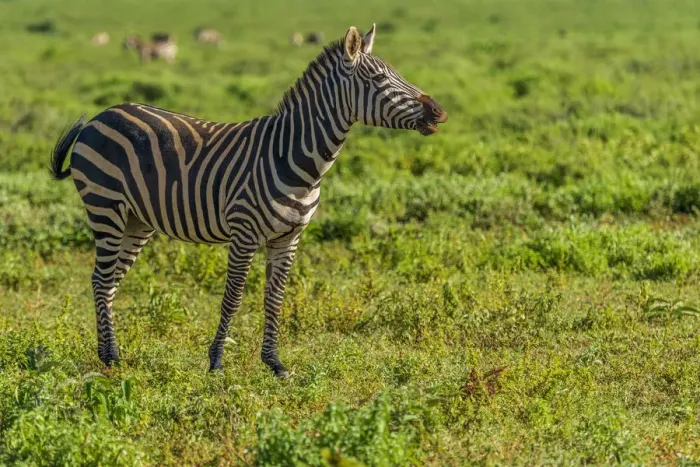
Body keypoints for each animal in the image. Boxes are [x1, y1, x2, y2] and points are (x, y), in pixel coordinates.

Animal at [49, 24, 447, 378]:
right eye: (379, 80)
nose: (439, 112)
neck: (295, 158)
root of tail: (100, 116)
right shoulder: (244, 234)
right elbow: (234, 297)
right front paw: (216, 362)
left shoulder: (288, 238)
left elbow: (275, 298)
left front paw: (275, 364)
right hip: (105, 208)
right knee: (101, 279)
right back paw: (110, 357)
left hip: (136, 221)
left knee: (110, 281)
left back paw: (110, 354)